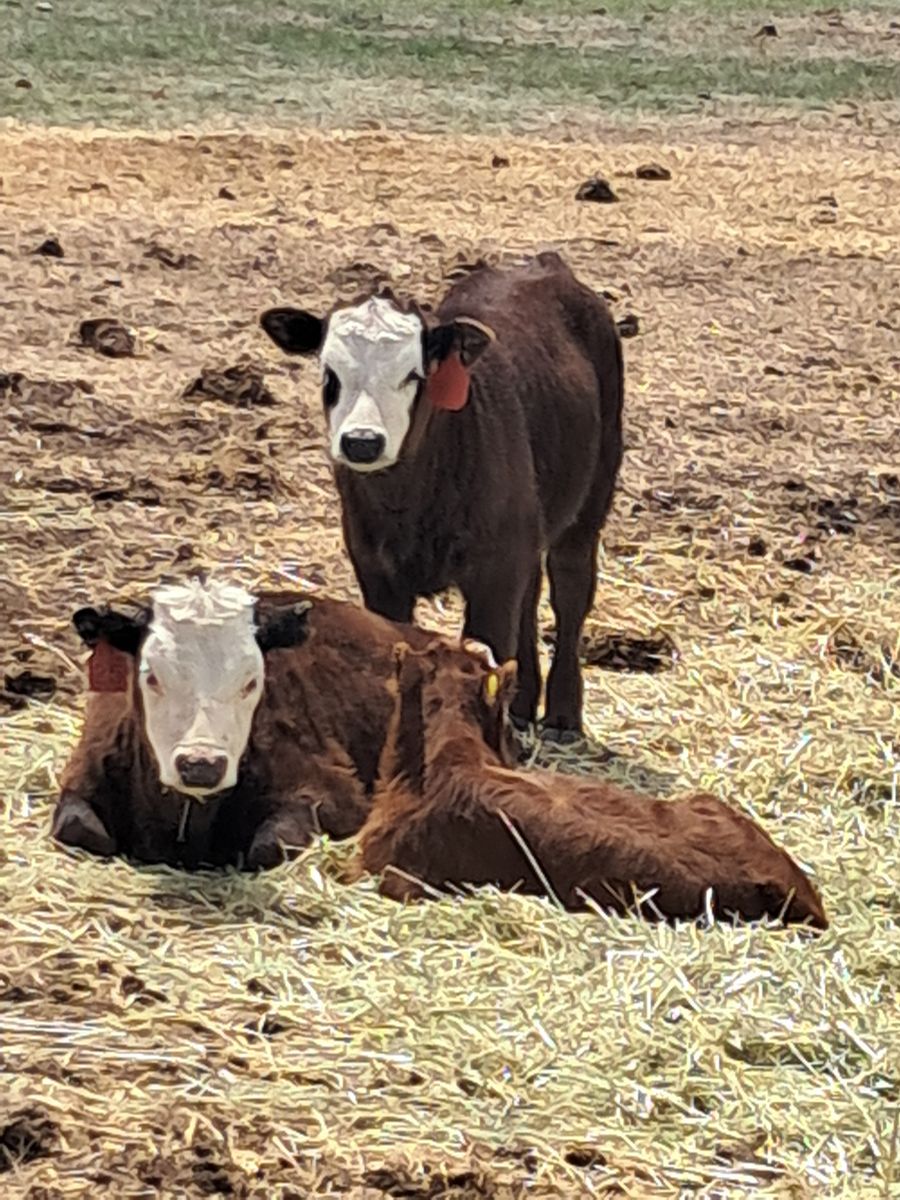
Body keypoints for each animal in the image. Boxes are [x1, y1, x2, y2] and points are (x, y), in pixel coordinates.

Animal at [51, 577, 508, 871]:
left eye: (252, 680)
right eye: (151, 675)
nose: (201, 765)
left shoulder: (331, 792)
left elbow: (268, 848)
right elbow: (77, 828)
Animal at [259, 252, 624, 742]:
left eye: (414, 375)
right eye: (328, 374)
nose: (361, 442)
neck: (409, 505)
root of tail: (543, 265)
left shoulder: (493, 576)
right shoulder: (378, 573)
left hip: (591, 496)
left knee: (569, 587)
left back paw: (563, 716)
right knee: (530, 596)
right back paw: (524, 705)